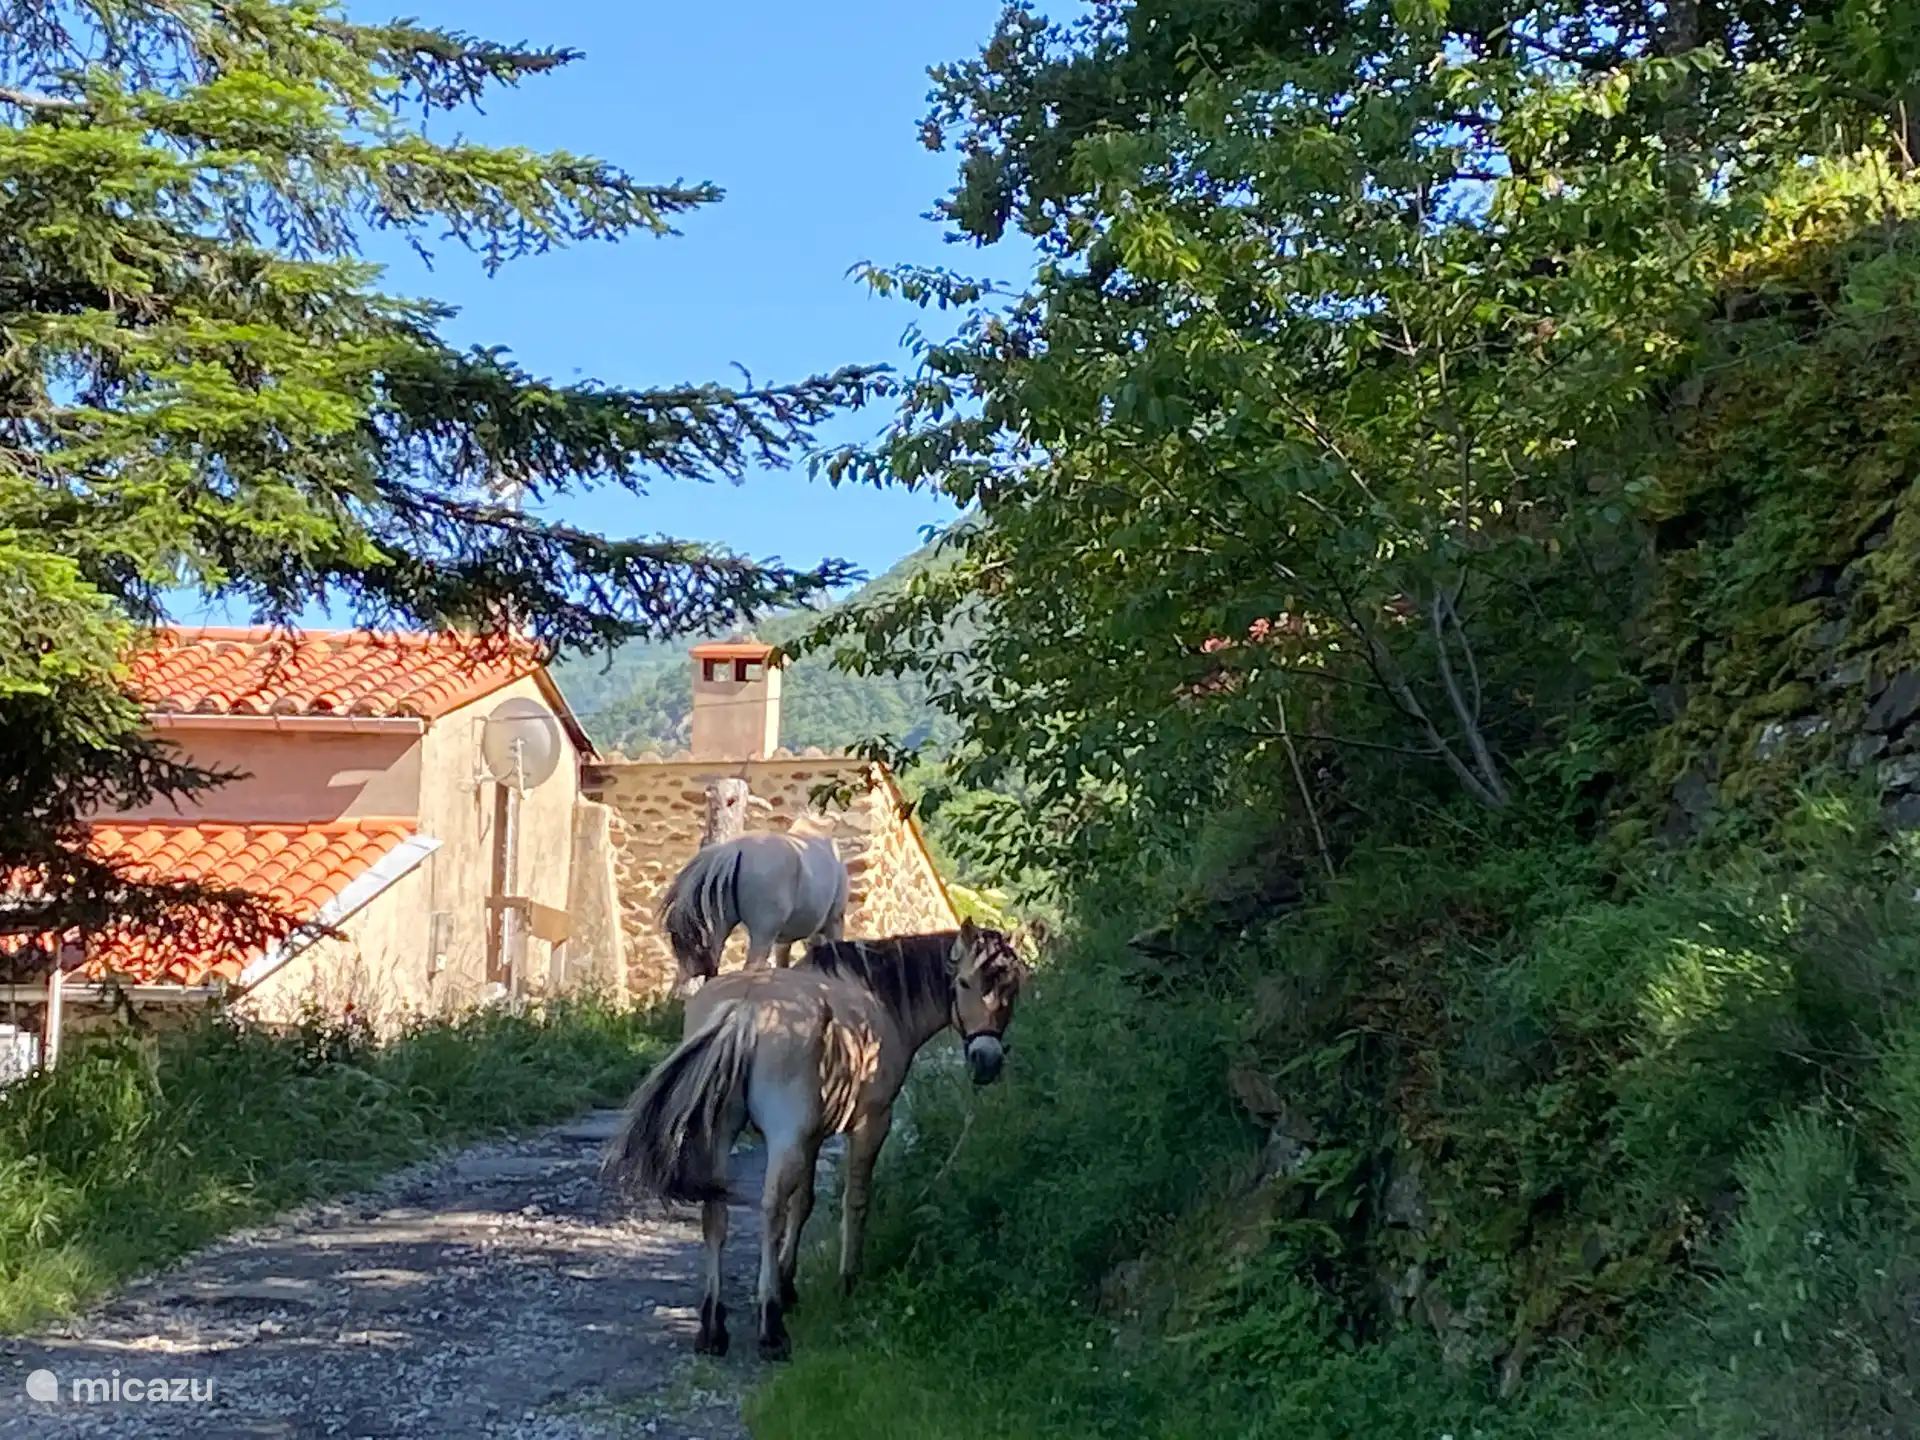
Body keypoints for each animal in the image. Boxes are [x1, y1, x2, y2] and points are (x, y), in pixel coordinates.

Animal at [600, 919, 1028, 1361]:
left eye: (1012, 987)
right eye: (964, 982)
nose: (986, 1060)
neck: (875, 994)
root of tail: (746, 1009)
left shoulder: (811, 1137)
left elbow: (802, 1204)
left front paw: (788, 1285)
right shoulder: (870, 1124)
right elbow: (853, 1201)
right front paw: (846, 1280)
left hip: (723, 1136)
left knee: (716, 1214)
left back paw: (713, 1326)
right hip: (782, 1138)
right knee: (769, 1212)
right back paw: (770, 1327)